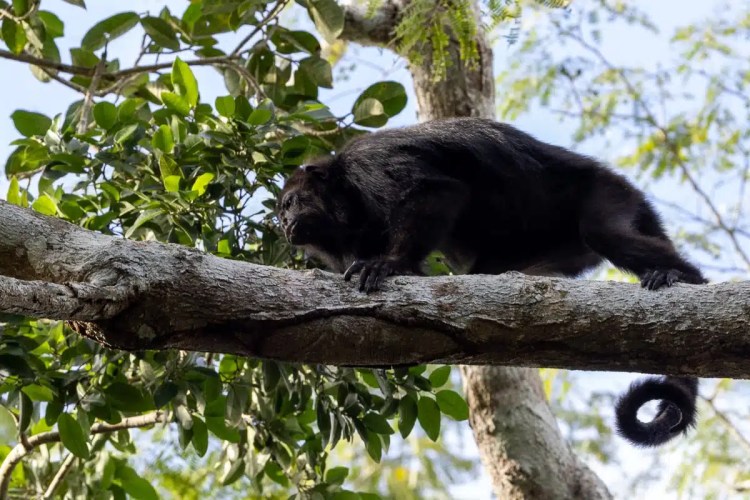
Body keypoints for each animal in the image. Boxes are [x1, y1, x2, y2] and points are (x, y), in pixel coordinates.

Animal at [277, 117, 706, 447]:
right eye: (282, 212)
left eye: (289, 203)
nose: (283, 224)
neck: (343, 193)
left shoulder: (370, 163)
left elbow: (436, 191)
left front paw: (390, 263)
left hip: (607, 193)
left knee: (605, 232)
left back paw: (683, 276)